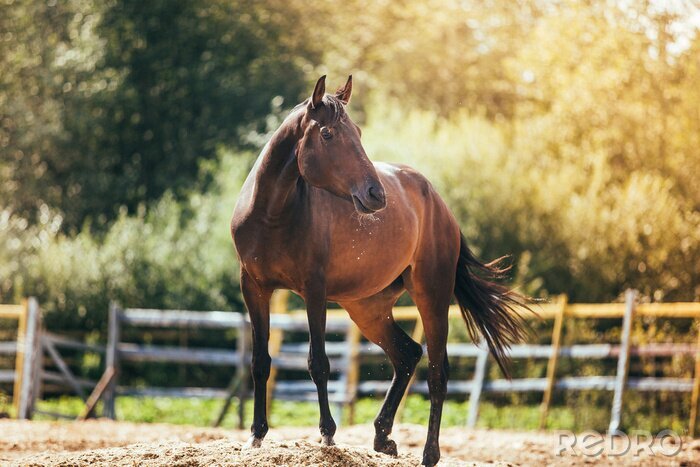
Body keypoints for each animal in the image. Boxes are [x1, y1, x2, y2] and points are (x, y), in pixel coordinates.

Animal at [232, 75, 528, 466]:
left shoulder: (313, 290)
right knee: (407, 355)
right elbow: (260, 361)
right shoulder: (254, 288)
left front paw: (327, 434)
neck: (273, 214)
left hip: (431, 296)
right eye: (327, 133)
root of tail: (437, 201)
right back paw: (382, 436)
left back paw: (429, 453)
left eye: (357, 131)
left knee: (437, 371)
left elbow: (318, 362)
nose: (376, 194)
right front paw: (256, 435)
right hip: (367, 308)